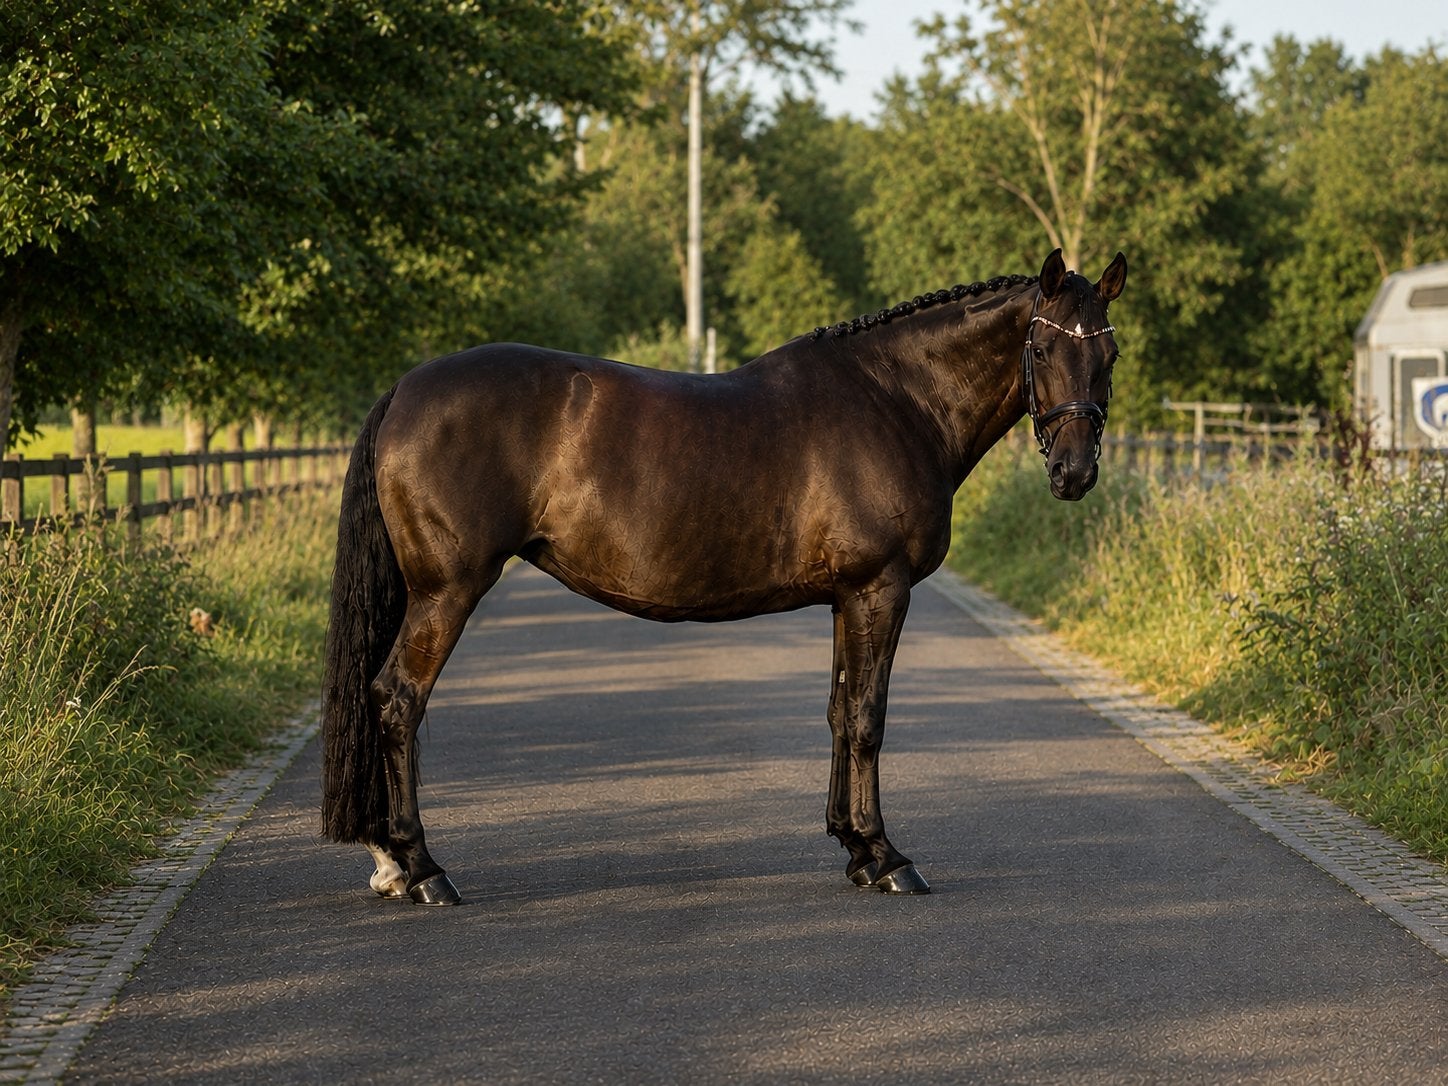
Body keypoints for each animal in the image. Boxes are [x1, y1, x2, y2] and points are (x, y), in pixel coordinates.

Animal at [321, 247, 1127, 905]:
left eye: (1110, 353)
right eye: (1044, 346)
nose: (1075, 473)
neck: (894, 401)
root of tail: (404, 391)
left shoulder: (848, 598)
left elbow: (839, 713)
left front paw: (855, 849)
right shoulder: (880, 589)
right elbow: (868, 719)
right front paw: (889, 857)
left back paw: (391, 863)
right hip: (446, 592)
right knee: (397, 700)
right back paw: (422, 869)